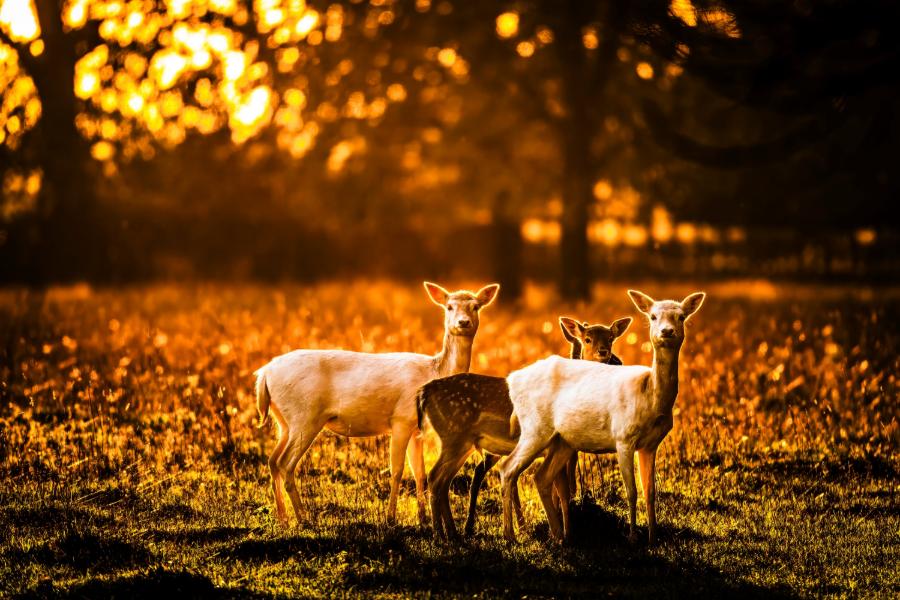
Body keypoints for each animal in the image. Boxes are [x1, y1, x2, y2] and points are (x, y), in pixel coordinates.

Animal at [255, 281, 500, 526]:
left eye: (475, 306)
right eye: (449, 307)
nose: (463, 322)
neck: (434, 371)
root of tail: (264, 373)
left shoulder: (415, 429)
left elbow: (419, 472)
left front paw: (422, 519)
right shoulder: (400, 419)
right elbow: (397, 470)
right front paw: (391, 518)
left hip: (284, 421)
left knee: (273, 460)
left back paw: (283, 518)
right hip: (305, 416)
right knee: (286, 463)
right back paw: (303, 519)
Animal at [416, 315, 632, 541]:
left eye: (611, 338)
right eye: (587, 339)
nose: (606, 354)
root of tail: (425, 391)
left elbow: (564, 489)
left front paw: (565, 532)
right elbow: (562, 489)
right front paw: (563, 533)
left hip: (462, 444)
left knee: (445, 481)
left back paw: (453, 532)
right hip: (453, 437)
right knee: (436, 477)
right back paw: (442, 533)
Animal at [499, 290, 705, 545]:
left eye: (681, 316)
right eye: (653, 316)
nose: (666, 331)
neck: (650, 396)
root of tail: (512, 379)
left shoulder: (651, 444)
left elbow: (650, 492)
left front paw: (653, 537)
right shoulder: (623, 437)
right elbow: (632, 491)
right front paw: (632, 537)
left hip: (562, 440)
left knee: (541, 477)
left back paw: (560, 536)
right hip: (534, 428)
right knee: (507, 468)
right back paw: (510, 535)